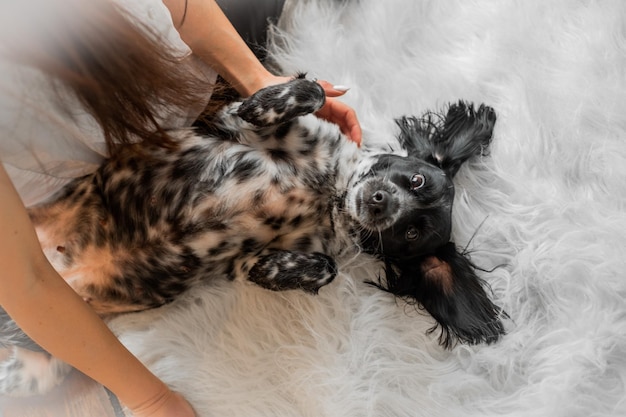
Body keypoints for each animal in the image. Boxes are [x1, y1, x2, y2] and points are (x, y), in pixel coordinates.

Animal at [1, 76, 502, 394]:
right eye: (416, 180)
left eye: (413, 232)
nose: (380, 202)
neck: (330, 193)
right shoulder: (239, 121)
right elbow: (307, 90)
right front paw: (283, 96)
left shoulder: (252, 258)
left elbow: (320, 267)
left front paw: (278, 271)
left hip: (45, 359)